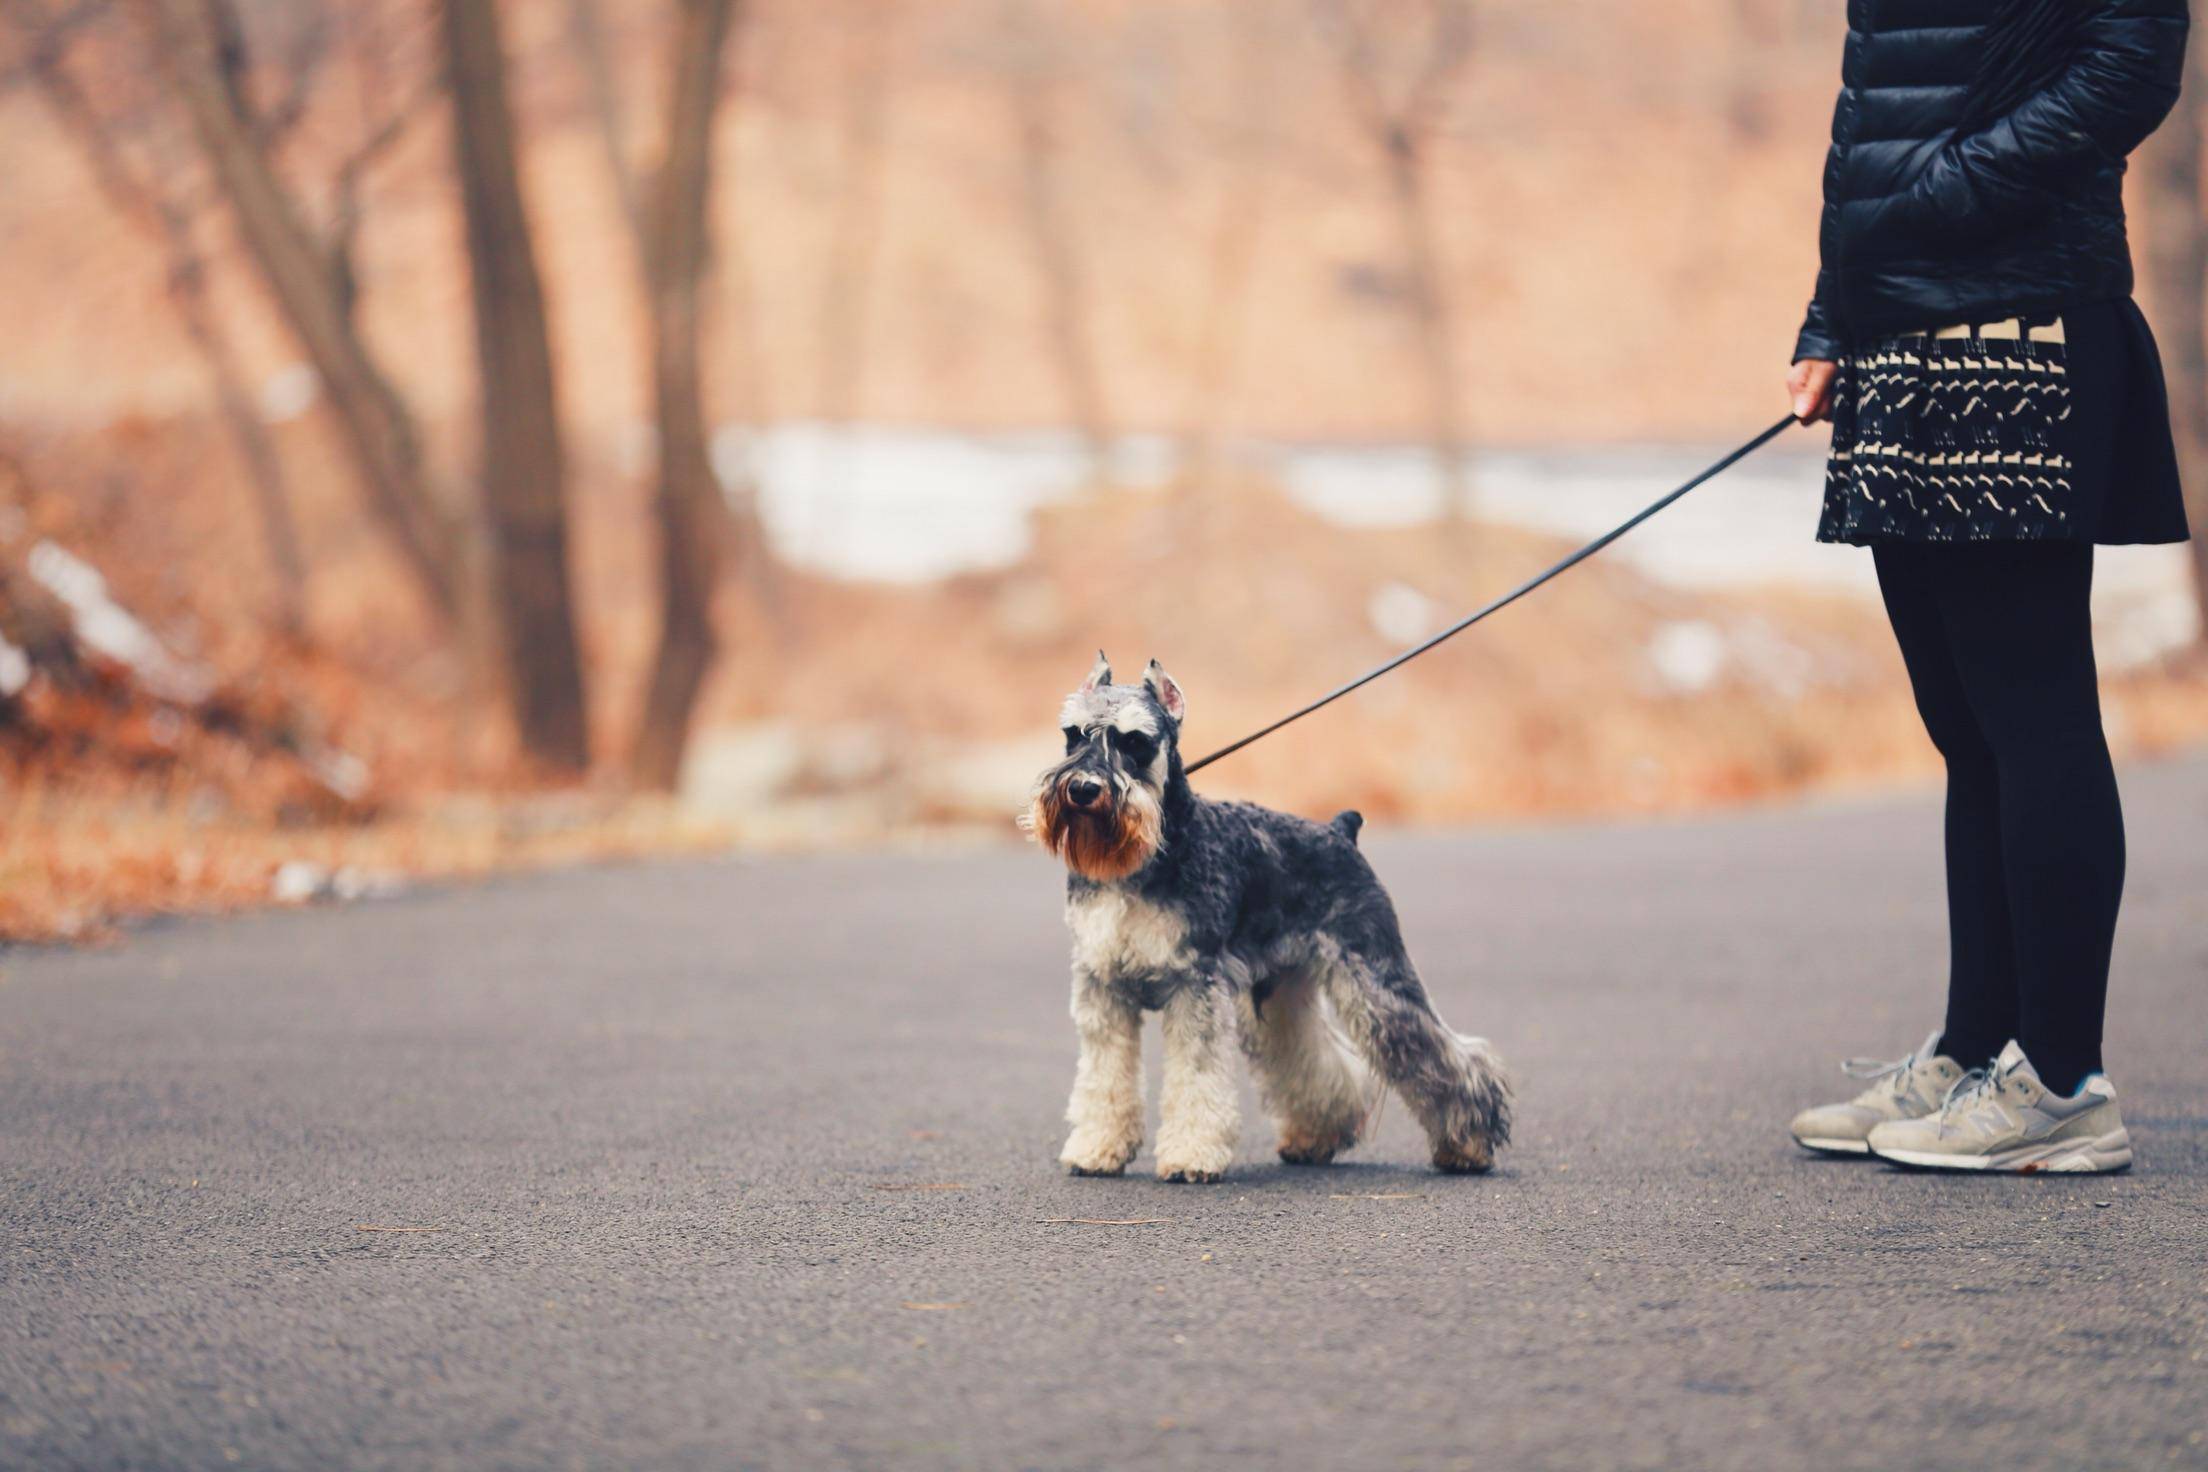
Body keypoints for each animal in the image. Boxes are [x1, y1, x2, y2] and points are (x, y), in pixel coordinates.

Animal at [1024, 657, 1510, 1182]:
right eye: (1073, 734)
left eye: (1135, 741)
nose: (1082, 788)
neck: (1141, 861)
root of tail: (1340, 831)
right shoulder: (1102, 988)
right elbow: (1103, 1075)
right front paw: (1097, 1148)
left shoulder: (1195, 986)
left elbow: (1196, 1076)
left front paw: (1191, 1156)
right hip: (1281, 992)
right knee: (1319, 1060)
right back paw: (1313, 1139)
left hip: (1376, 982)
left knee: (1448, 1055)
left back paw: (1467, 1147)